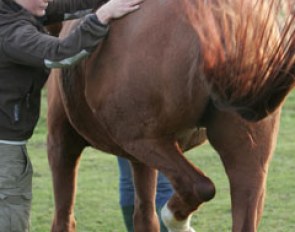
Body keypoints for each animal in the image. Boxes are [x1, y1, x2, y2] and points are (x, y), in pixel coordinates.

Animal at [46, 0, 295, 231]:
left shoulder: (61, 145)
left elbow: (64, 218)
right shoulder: (139, 160)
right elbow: (144, 215)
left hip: (144, 140)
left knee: (197, 186)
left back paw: (176, 220)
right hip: (246, 155)